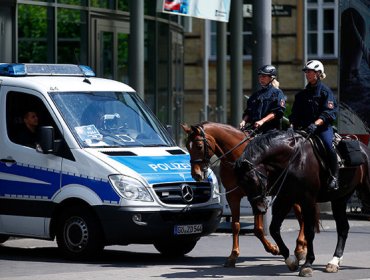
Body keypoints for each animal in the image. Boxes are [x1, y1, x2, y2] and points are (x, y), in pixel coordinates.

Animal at [181, 122, 306, 266]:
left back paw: (300, 248)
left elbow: (258, 229)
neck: (238, 158)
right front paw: (233, 255)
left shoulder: (256, 195)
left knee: (301, 216)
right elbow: (235, 225)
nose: (196, 174)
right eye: (187, 146)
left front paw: (273, 248)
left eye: (199, 146)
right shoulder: (233, 196)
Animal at [234, 130, 370, 276]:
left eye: (253, 181)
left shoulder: (307, 200)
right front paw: (290, 260)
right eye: (241, 184)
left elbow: (309, 231)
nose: (259, 209)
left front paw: (307, 264)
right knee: (343, 228)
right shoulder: (285, 199)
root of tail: (364, 150)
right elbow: (274, 228)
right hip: (340, 199)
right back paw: (334, 261)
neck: (292, 161)